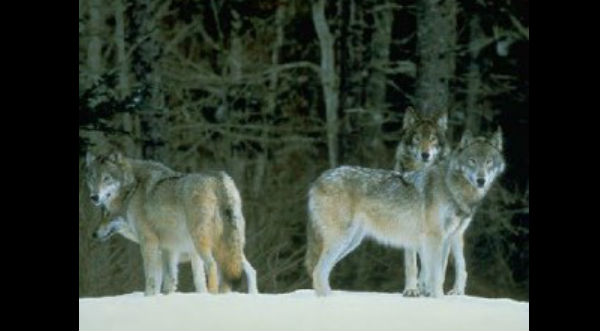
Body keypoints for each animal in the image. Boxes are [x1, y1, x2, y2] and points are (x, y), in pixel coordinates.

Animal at [85, 152, 258, 296]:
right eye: (92, 178)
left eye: (106, 178)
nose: (94, 197)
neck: (133, 187)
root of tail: (219, 178)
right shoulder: (170, 250)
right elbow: (173, 281)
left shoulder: (150, 243)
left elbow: (152, 279)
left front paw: (149, 298)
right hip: (228, 246)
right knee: (249, 270)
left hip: (202, 242)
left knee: (213, 266)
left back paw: (213, 296)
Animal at [302, 128, 504, 296]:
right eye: (472, 161)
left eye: (489, 162)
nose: (481, 180)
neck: (452, 187)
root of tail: (317, 180)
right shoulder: (434, 237)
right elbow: (435, 276)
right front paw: (438, 301)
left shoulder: (448, 237)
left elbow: (442, 272)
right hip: (342, 240)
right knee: (318, 271)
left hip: (351, 242)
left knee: (320, 271)